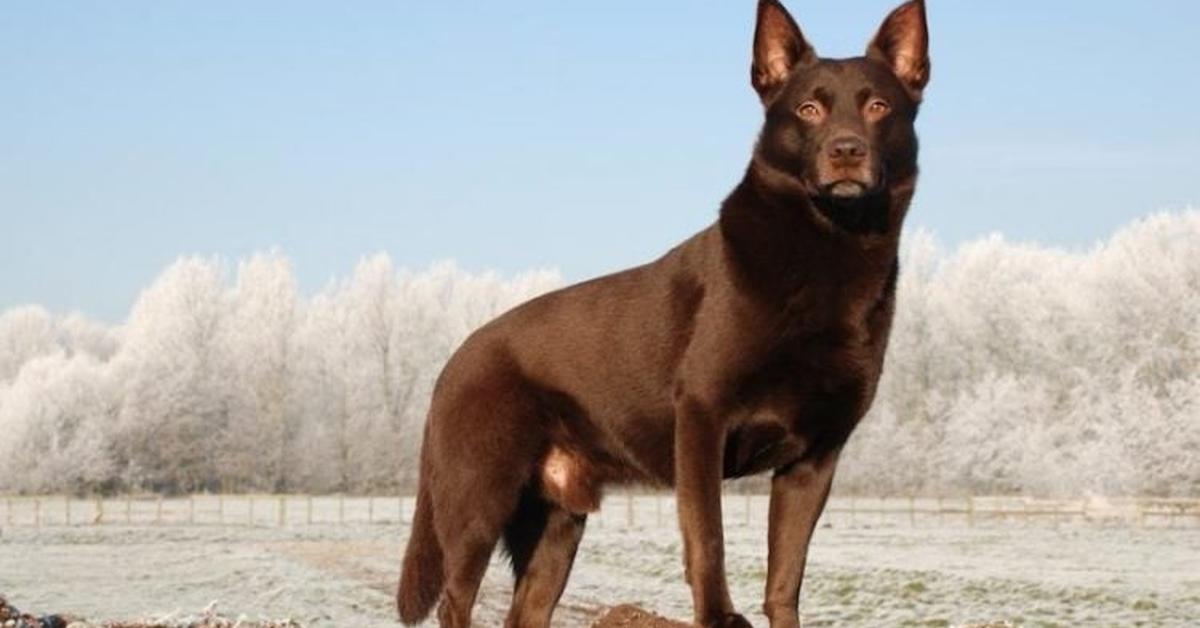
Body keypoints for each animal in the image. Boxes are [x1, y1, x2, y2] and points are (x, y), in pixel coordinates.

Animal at [398, 2, 931, 624]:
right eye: (809, 109)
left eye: (878, 107)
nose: (846, 150)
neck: (829, 249)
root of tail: (454, 359)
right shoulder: (702, 416)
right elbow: (708, 537)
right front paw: (720, 615)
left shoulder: (816, 456)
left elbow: (786, 576)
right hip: (478, 500)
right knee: (455, 598)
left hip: (557, 523)